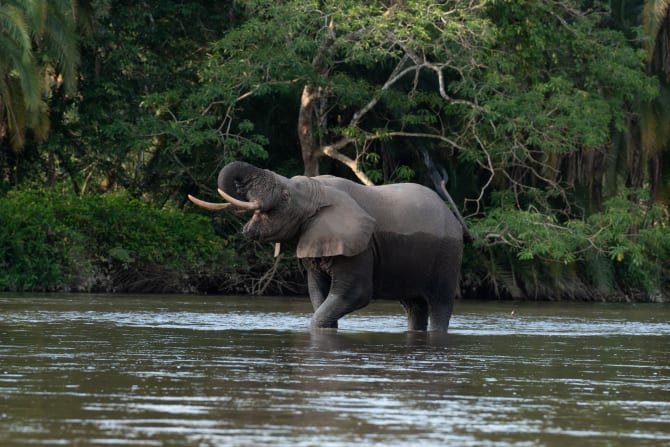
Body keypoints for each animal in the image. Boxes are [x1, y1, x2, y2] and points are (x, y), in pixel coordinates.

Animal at [189, 161, 472, 332]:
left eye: (285, 197)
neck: (318, 190)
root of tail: (456, 220)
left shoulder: (361, 246)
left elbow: (354, 294)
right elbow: (318, 293)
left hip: (448, 254)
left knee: (439, 304)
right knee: (414, 306)